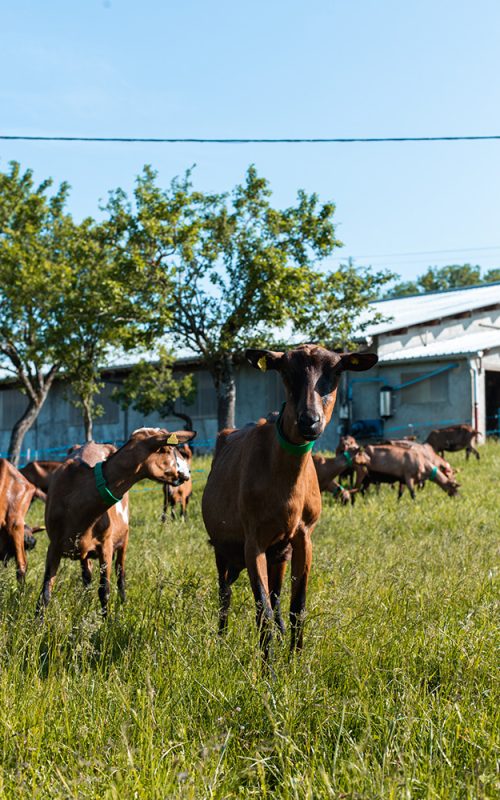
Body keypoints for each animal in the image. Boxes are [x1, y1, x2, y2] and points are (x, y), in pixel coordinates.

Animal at [37, 428, 195, 616]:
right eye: (168, 449)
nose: (187, 472)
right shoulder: (54, 545)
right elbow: (45, 592)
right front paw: (38, 622)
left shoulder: (106, 545)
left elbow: (104, 590)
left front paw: (107, 622)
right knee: (87, 577)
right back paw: (85, 602)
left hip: (124, 538)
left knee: (120, 574)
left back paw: (123, 602)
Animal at [201, 344, 376, 656]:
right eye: (285, 372)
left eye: (336, 373)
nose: (310, 421)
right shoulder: (253, 540)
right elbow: (262, 611)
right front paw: (268, 667)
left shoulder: (303, 536)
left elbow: (296, 605)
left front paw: (295, 658)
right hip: (222, 546)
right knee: (225, 593)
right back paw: (221, 640)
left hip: (279, 552)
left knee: (276, 596)